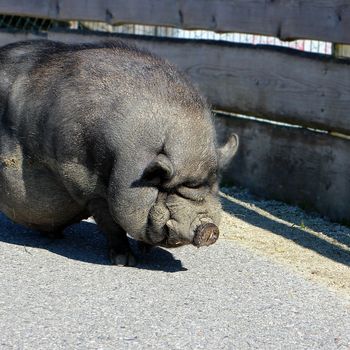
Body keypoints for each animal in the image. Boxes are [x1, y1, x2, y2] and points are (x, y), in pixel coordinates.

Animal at [0, 39, 238, 266]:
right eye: (169, 189)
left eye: (212, 188)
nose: (210, 229)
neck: (127, 161)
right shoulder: (87, 184)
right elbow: (111, 225)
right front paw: (125, 262)